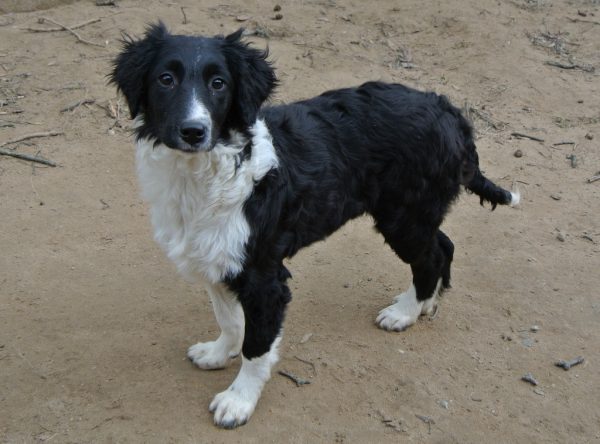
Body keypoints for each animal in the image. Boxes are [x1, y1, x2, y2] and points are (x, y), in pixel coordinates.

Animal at [112, 22, 520, 428]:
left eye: (218, 83)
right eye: (165, 79)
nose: (193, 131)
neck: (204, 173)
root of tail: (448, 110)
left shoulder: (265, 278)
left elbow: (256, 346)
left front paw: (238, 400)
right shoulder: (218, 258)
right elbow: (229, 319)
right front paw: (217, 353)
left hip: (403, 217)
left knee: (431, 256)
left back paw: (405, 313)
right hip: (416, 213)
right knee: (444, 244)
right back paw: (428, 304)